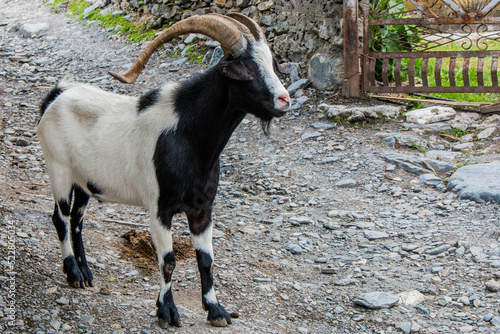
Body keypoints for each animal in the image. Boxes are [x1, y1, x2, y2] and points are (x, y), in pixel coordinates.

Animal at [37, 13, 292, 328]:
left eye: (272, 63)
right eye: (244, 67)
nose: (284, 100)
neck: (186, 136)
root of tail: (55, 96)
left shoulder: (202, 210)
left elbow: (206, 261)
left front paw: (216, 310)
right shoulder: (160, 209)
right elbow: (168, 260)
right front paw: (167, 311)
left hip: (84, 181)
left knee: (76, 220)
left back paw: (86, 274)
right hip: (58, 170)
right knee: (60, 218)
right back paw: (73, 273)